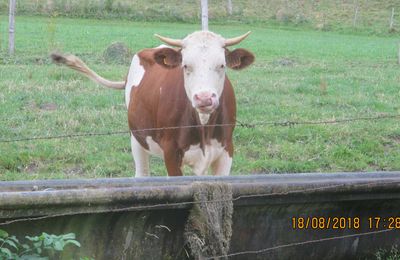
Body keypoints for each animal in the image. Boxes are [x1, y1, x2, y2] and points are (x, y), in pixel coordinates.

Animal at [51, 30, 255, 177]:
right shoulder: (171, 153)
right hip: (137, 139)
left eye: (222, 65)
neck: (203, 125)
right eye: (185, 65)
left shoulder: (226, 150)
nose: (204, 98)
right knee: (142, 174)